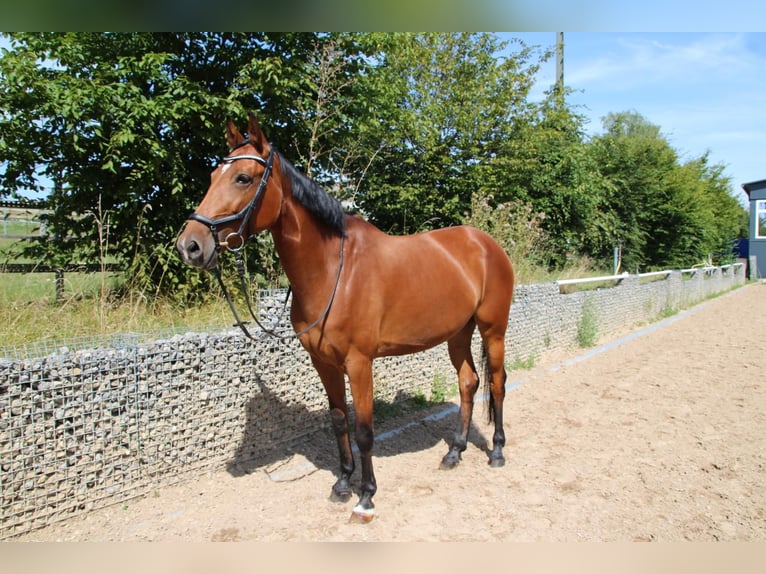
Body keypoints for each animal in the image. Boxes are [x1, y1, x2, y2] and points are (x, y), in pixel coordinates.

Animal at [177, 115, 516, 524]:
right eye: (213, 175)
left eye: (242, 178)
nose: (190, 245)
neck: (334, 273)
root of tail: (486, 244)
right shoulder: (323, 362)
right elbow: (339, 420)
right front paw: (341, 484)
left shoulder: (359, 363)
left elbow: (364, 430)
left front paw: (366, 497)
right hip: (458, 333)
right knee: (468, 382)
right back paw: (454, 452)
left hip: (493, 330)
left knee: (496, 383)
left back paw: (496, 451)